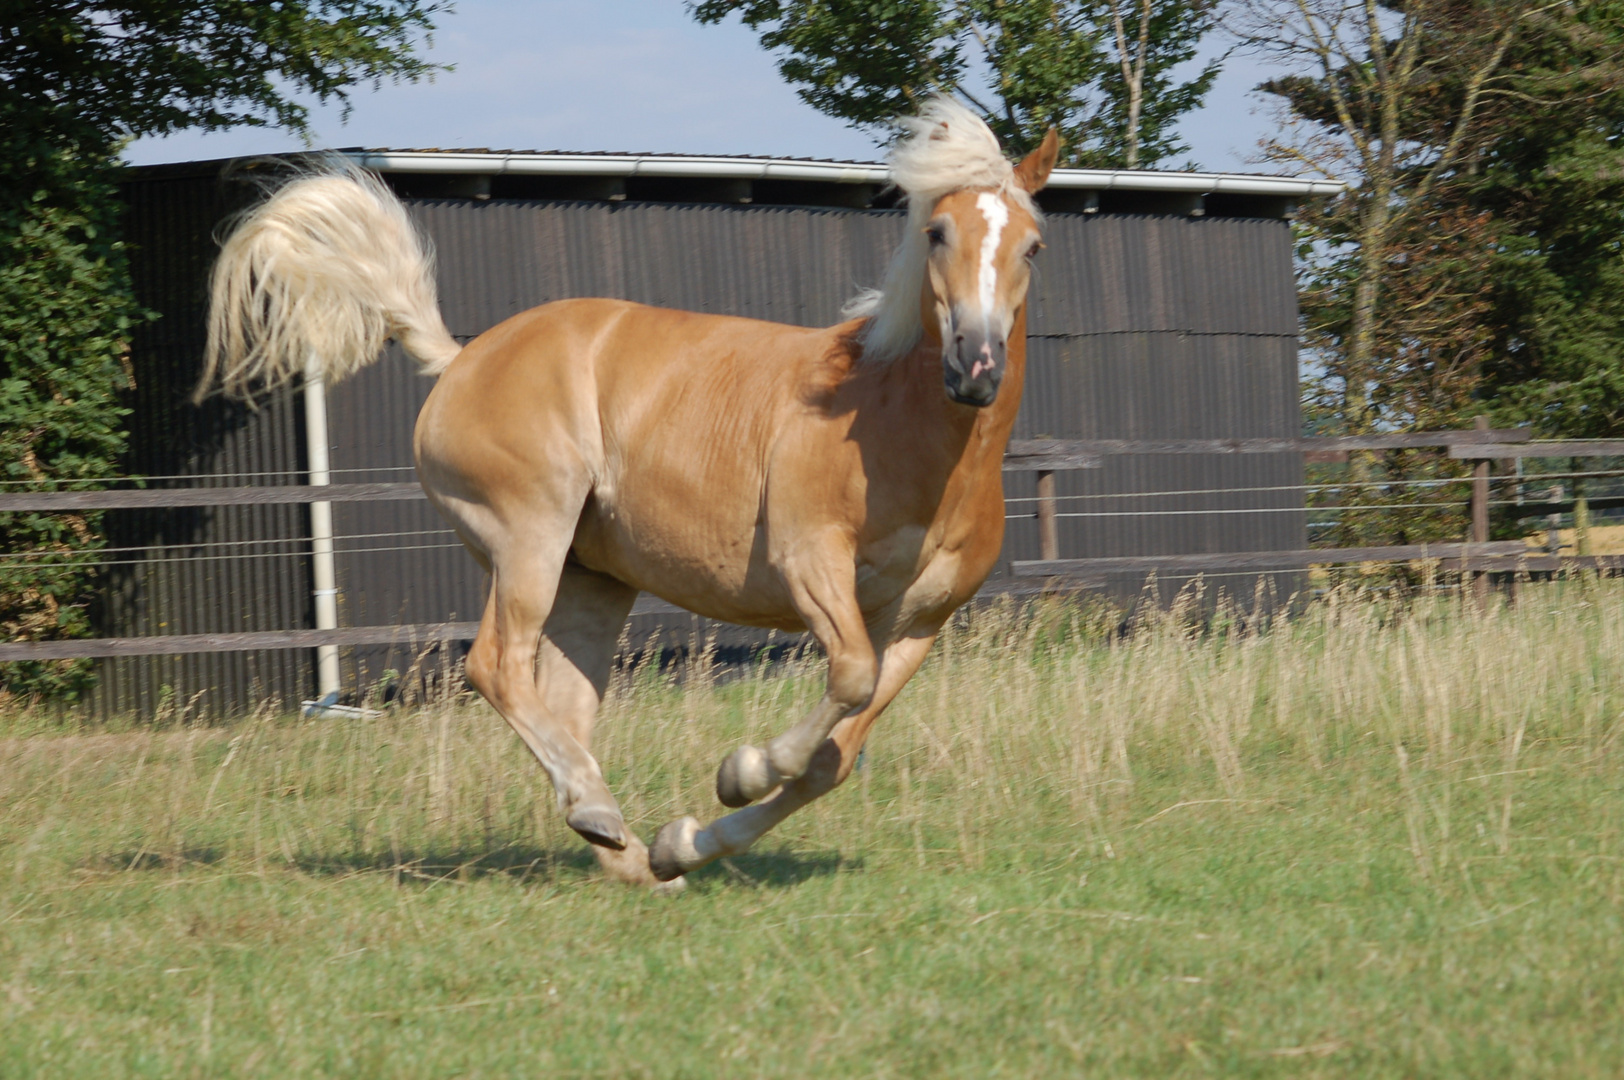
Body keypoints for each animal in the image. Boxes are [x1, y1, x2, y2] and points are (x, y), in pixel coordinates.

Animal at [196, 99, 1058, 883]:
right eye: (937, 232)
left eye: (1033, 246)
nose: (976, 367)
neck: (891, 423)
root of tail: (461, 359)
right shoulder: (812, 562)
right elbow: (842, 682)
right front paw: (739, 771)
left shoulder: (917, 623)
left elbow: (833, 758)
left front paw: (687, 841)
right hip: (530, 539)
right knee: (496, 665)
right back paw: (604, 815)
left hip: (593, 578)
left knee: (564, 705)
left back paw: (628, 852)